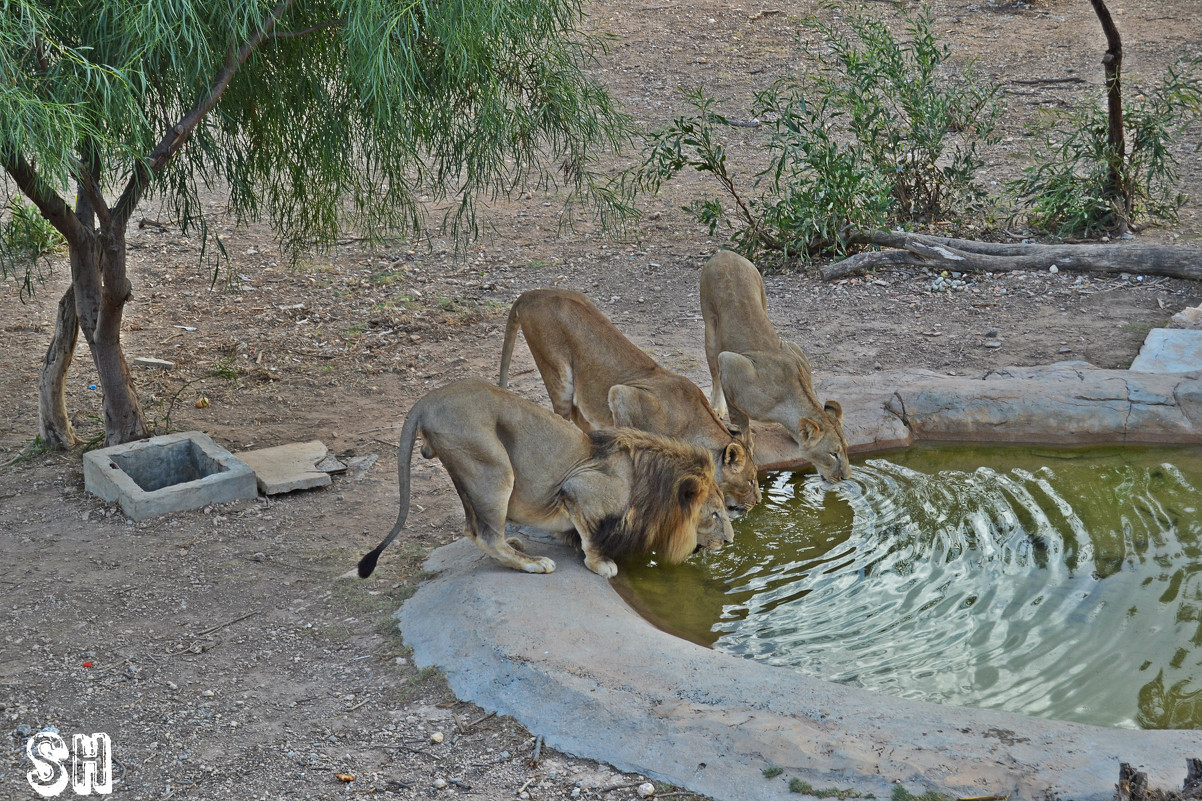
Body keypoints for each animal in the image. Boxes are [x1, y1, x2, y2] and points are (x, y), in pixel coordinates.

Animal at [355, 377, 730, 577]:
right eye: (714, 515)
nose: (729, 543)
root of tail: (426, 400)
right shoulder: (578, 489)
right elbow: (592, 539)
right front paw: (601, 564)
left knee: (478, 528)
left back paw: (516, 544)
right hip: (493, 467)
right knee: (483, 535)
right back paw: (534, 563)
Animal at [701, 247, 851, 481]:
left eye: (846, 448)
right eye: (832, 454)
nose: (847, 478)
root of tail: (725, 252)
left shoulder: (794, 348)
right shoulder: (731, 363)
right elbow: (740, 420)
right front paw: (746, 445)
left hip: (762, 296)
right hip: (711, 327)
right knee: (714, 370)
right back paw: (716, 407)